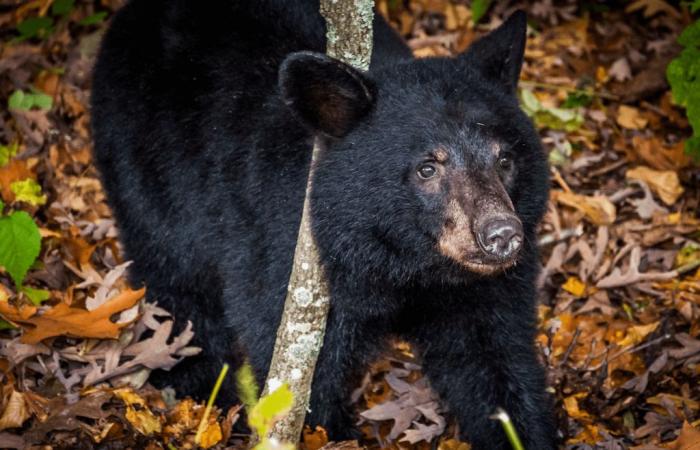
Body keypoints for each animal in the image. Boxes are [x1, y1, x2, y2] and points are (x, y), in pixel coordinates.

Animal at [90, 1, 556, 448]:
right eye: (427, 168)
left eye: (505, 159)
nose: (501, 234)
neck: (404, 262)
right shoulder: (284, 259)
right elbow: (303, 376)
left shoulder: (480, 290)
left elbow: (494, 363)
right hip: (148, 171)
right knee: (174, 280)